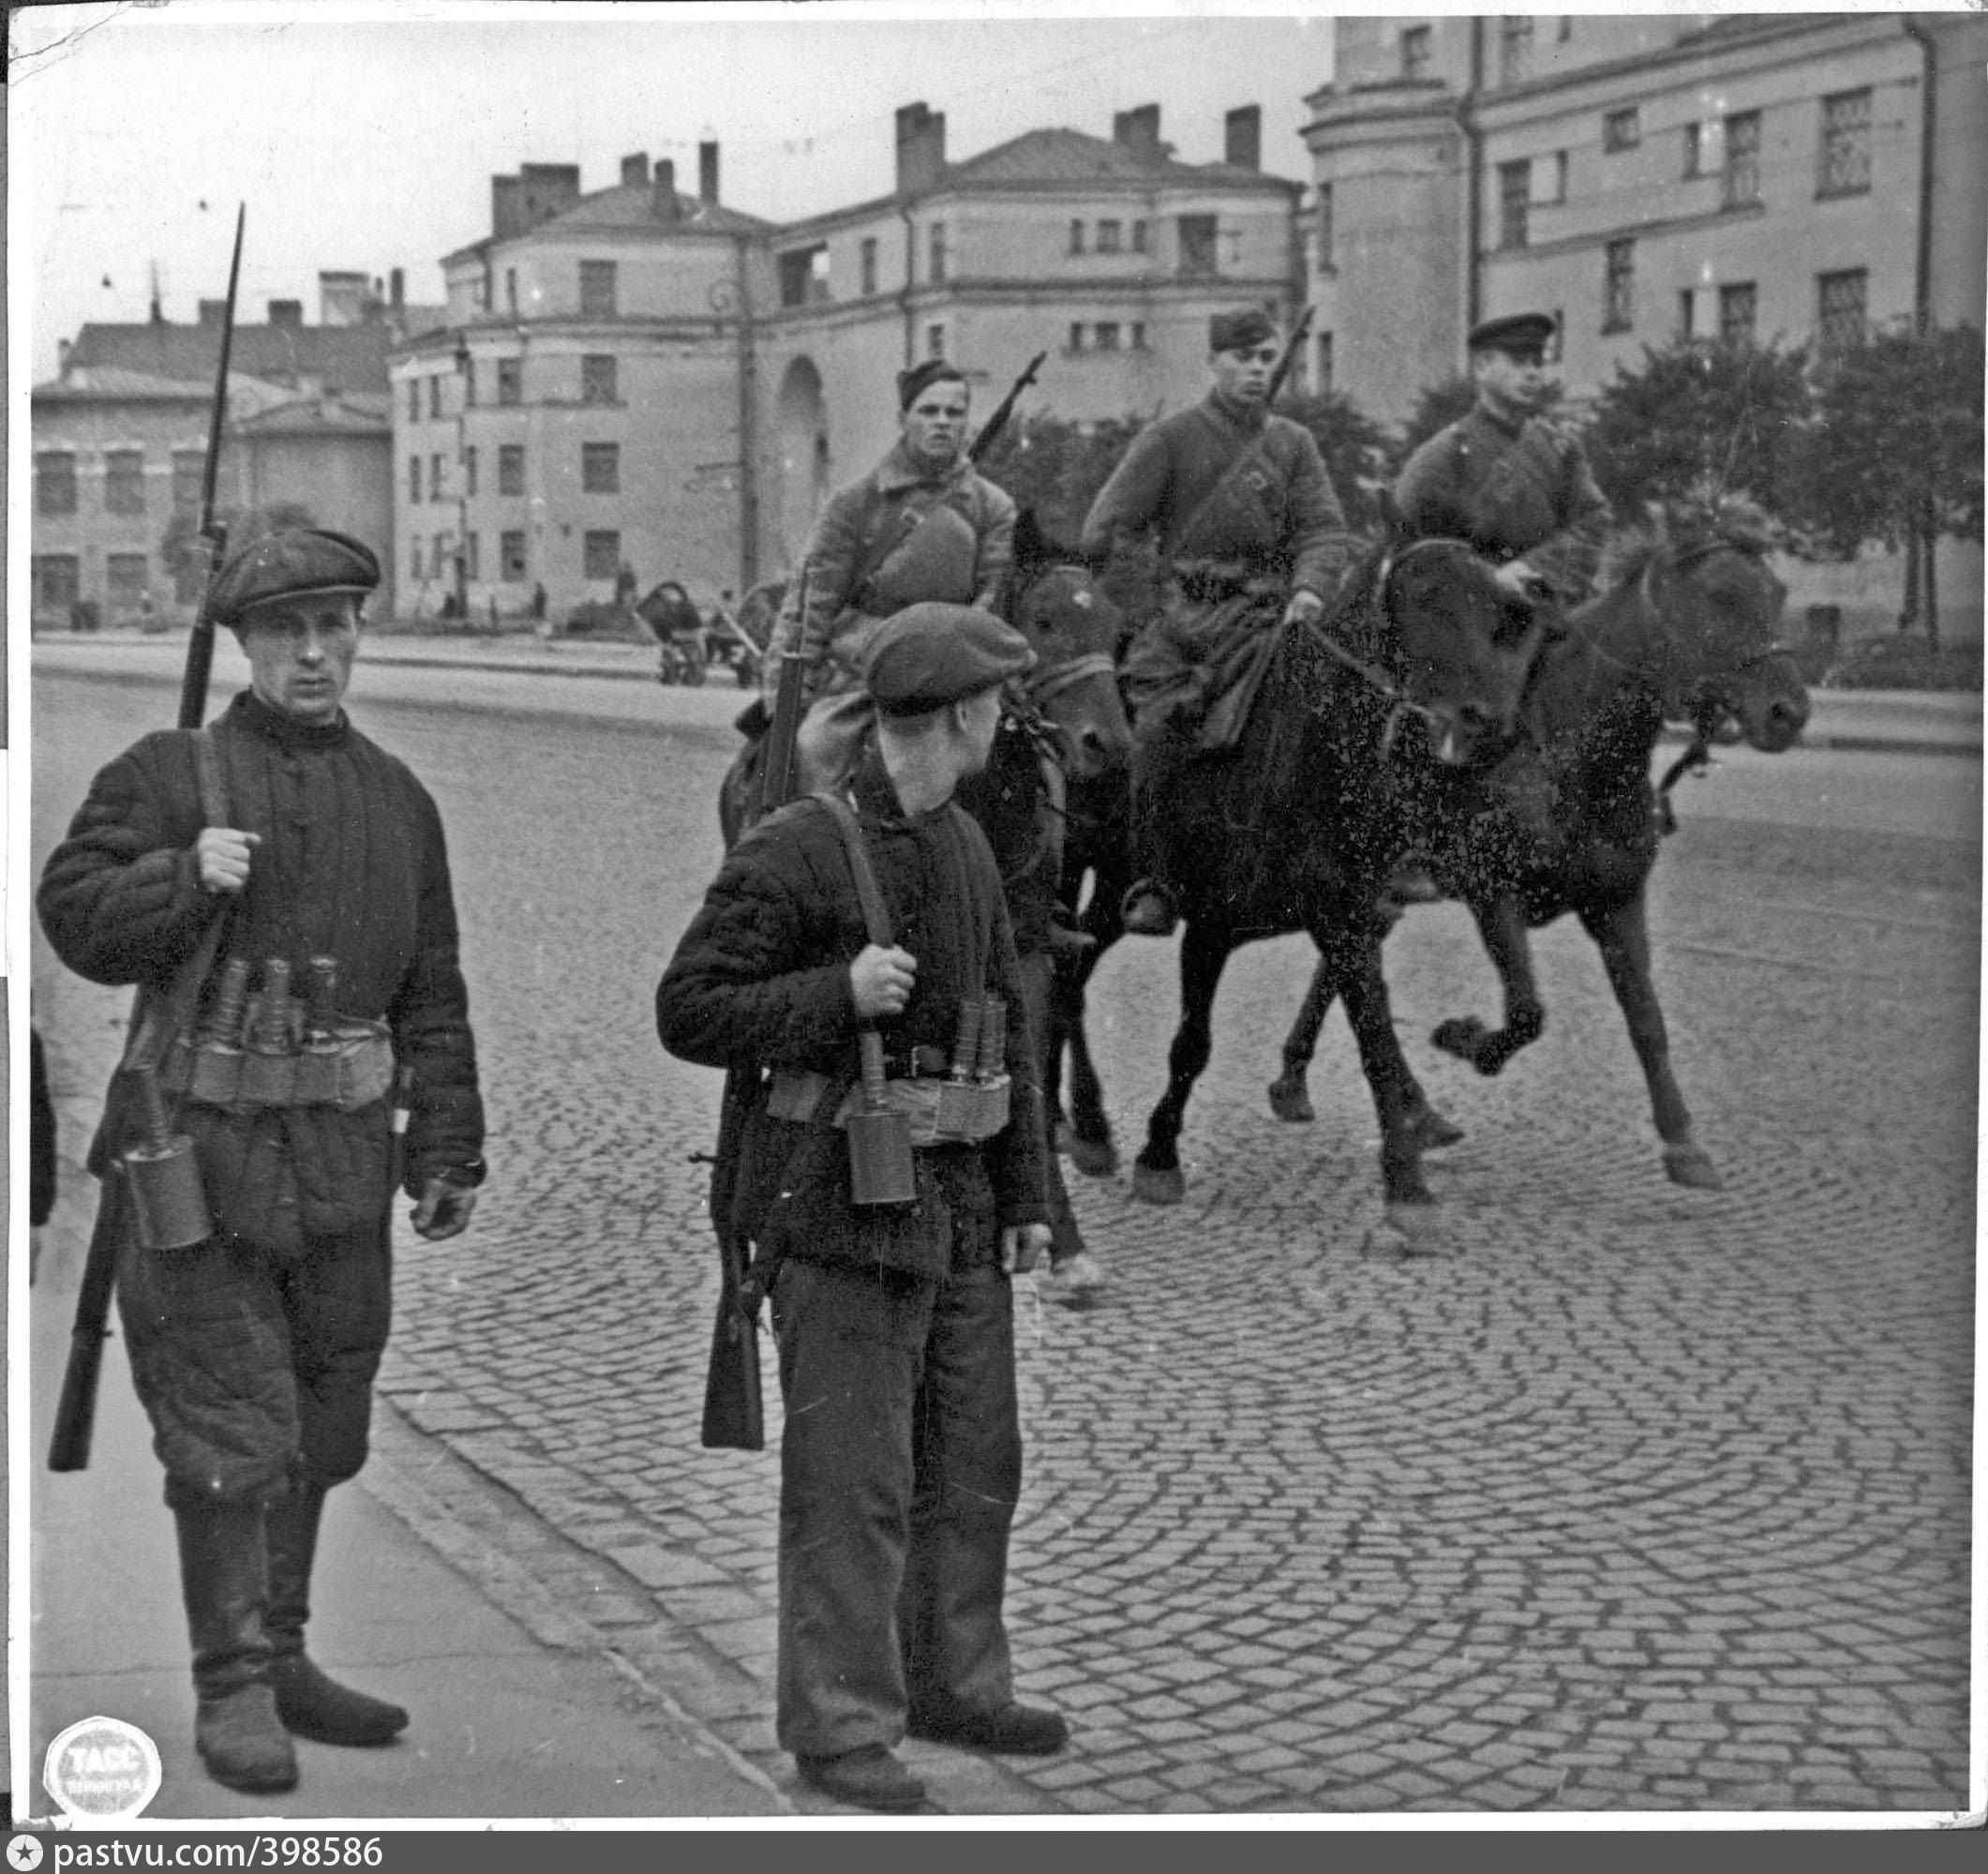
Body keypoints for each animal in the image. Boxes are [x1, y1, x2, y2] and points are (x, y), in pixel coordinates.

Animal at [1049, 529, 1542, 1233]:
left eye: (1500, 617)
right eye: (1424, 600)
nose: (1488, 727)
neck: (1321, 750)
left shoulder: (1365, 913)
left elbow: (1412, 1033)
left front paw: (1415, 1154)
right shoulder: (1214, 923)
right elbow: (1192, 1044)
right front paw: (1159, 1154)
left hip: (1112, 896)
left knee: (1072, 970)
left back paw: (1076, 1122)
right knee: (1061, 974)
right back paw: (1081, 1123)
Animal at [1263, 499, 1813, 1193]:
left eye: (1778, 593)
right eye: (1719, 596)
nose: (1788, 712)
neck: (1570, 753)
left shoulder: (1617, 901)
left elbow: (1646, 1020)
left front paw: (1683, 1141)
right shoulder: (1493, 895)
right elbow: (1527, 1011)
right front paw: (1465, 1039)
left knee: (1340, 961)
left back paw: (1345, 1092)